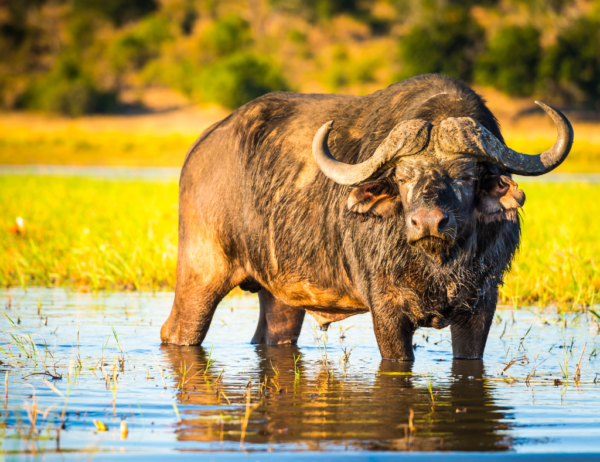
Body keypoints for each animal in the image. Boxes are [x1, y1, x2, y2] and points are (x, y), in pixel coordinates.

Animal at [162, 74, 576, 360]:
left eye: (466, 176)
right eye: (403, 177)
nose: (428, 222)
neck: (437, 264)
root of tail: (201, 149)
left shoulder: (481, 307)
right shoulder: (387, 310)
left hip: (280, 296)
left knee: (273, 335)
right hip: (201, 274)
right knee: (176, 331)